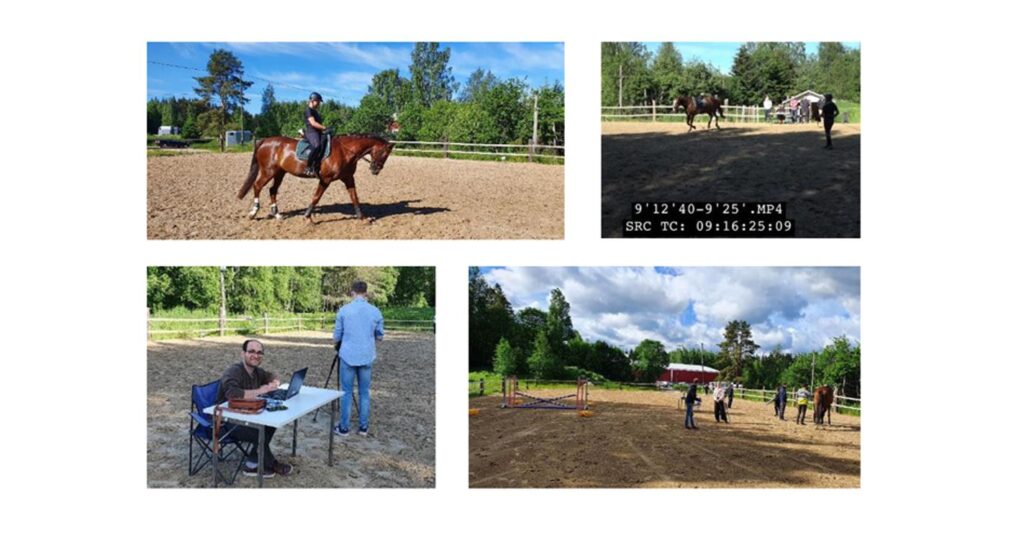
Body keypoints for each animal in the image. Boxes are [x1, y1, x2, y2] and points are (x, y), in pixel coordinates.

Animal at [235, 133, 395, 221]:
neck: (345, 151)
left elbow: (354, 197)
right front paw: (307, 216)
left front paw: (362, 218)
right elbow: (316, 197)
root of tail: (265, 141)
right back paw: (253, 212)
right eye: (384, 154)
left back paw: (277, 215)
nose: (375, 170)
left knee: (272, 190)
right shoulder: (326, 179)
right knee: (257, 186)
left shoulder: (348, 178)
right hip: (268, 171)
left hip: (279, 173)